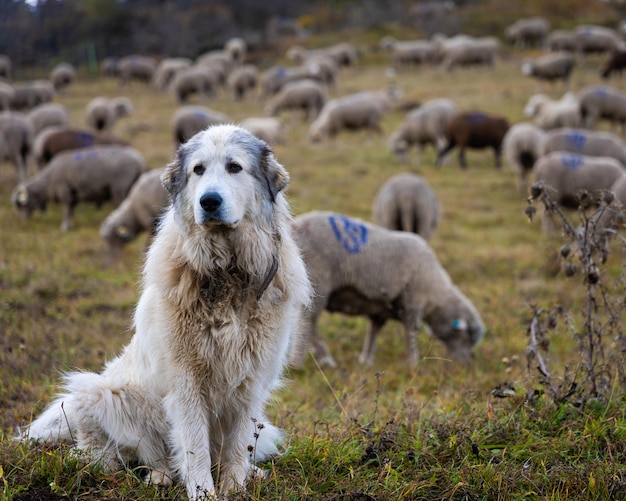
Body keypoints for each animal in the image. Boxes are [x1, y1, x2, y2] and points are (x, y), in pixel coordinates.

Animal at [12, 144, 145, 231]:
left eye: (21, 205)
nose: (23, 222)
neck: (48, 181)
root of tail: (139, 160)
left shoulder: (65, 192)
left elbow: (66, 210)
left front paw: (65, 227)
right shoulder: (73, 195)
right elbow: (71, 211)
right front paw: (70, 225)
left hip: (119, 188)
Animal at [288, 211, 482, 368]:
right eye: (468, 337)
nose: (468, 364)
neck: (436, 296)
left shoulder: (379, 313)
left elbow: (373, 334)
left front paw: (366, 361)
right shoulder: (412, 305)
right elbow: (411, 335)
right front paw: (414, 365)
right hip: (317, 283)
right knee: (306, 324)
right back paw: (306, 362)